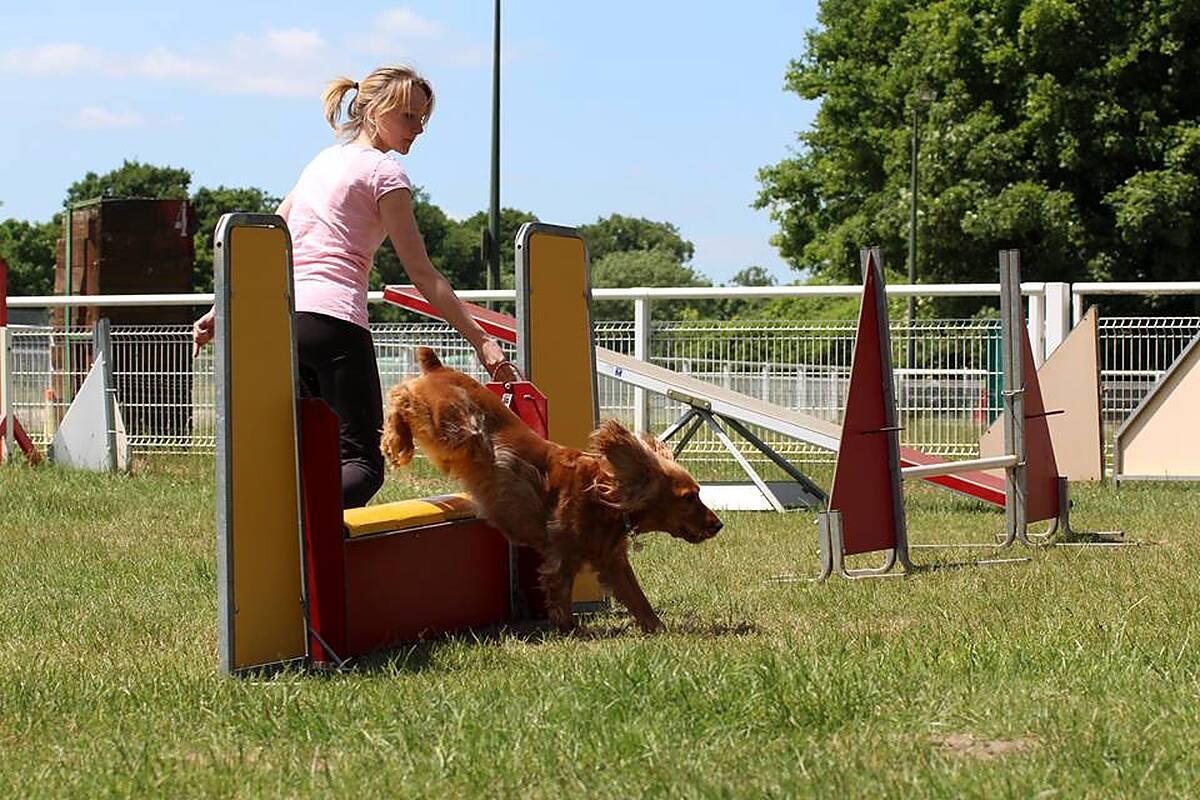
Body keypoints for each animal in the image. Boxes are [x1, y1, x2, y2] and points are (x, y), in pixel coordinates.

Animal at [384, 347, 720, 633]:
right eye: (688, 497)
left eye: (698, 492)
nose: (719, 525)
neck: (605, 496)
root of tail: (438, 367)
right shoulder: (563, 557)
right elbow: (561, 592)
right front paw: (570, 628)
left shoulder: (612, 560)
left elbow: (638, 597)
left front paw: (659, 628)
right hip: (458, 427)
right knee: (400, 394)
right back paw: (396, 441)